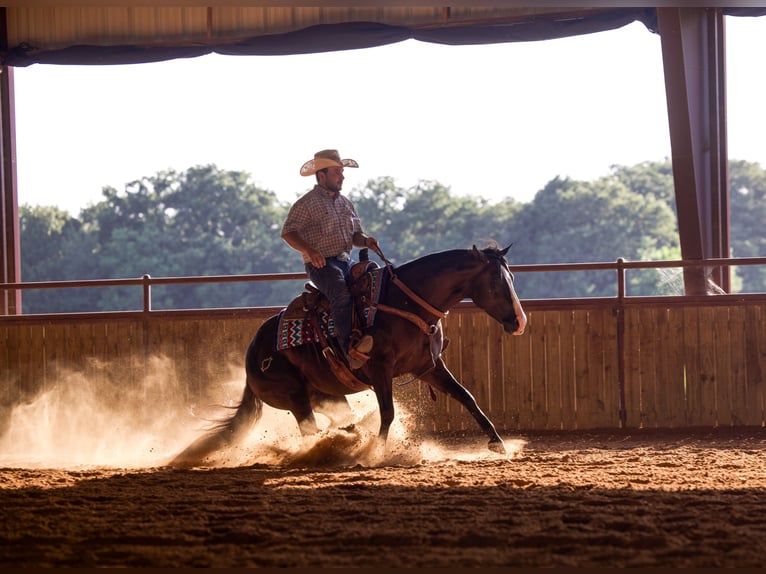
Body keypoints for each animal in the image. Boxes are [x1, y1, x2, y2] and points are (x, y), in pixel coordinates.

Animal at [171, 243, 528, 468]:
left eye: (512, 278)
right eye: (496, 282)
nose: (519, 322)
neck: (404, 302)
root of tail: (252, 357)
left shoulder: (429, 367)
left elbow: (467, 396)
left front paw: (497, 444)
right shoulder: (381, 371)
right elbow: (388, 413)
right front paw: (376, 454)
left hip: (325, 394)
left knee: (335, 419)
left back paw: (349, 434)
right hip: (294, 397)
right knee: (311, 430)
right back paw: (336, 446)